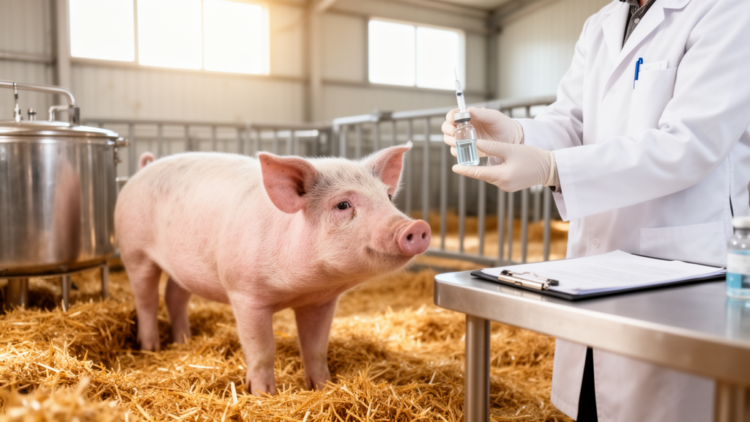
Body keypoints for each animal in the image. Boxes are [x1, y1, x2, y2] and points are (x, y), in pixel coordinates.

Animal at [114, 144, 431, 395]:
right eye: (343, 204)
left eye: (388, 198)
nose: (416, 226)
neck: (302, 287)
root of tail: (143, 169)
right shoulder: (245, 294)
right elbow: (262, 350)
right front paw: (264, 395)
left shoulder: (321, 302)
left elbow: (316, 349)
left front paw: (322, 387)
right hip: (134, 251)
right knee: (146, 299)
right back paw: (151, 348)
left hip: (183, 267)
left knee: (174, 296)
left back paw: (183, 341)